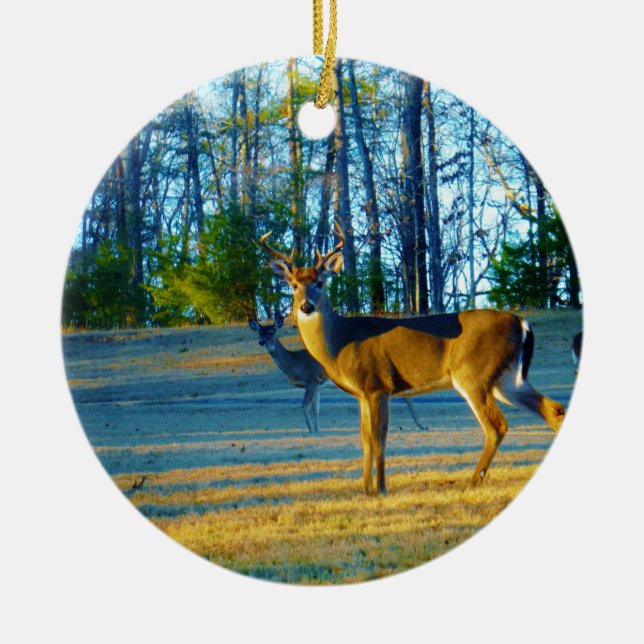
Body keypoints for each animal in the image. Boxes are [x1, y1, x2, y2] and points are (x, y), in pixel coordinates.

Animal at [249, 313, 428, 433]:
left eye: (272, 331)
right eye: (259, 332)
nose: (262, 342)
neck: (294, 363)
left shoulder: (311, 380)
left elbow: (304, 405)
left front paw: (311, 430)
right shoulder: (318, 385)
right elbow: (315, 408)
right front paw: (317, 430)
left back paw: (422, 425)